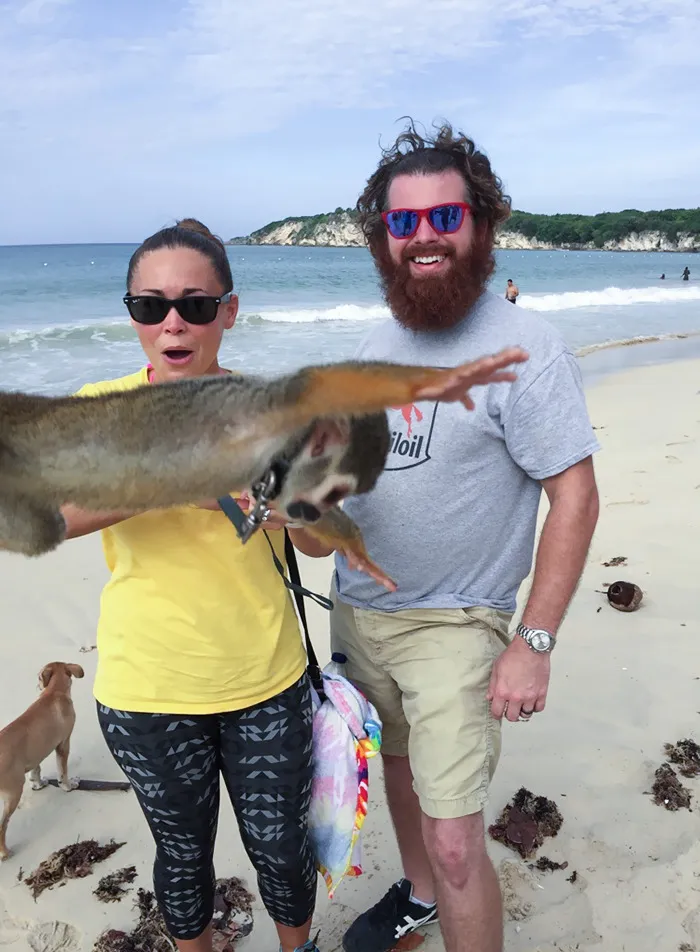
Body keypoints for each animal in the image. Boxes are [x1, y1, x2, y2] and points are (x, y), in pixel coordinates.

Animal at [0, 348, 527, 574]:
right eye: (337, 491)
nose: (311, 511)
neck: (283, 447)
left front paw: (355, 547)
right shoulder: (272, 411)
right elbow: (316, 382)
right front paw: (442, 379)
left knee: (45, 531)